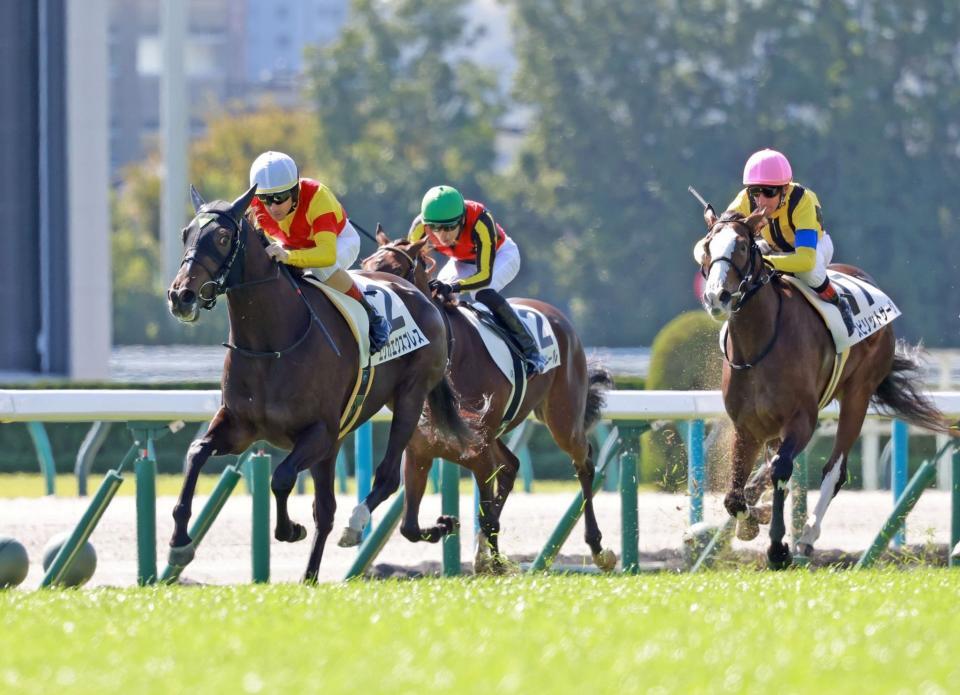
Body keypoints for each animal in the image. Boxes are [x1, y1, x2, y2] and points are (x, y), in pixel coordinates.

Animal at [171, 185, 478, 580]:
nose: (181, 295)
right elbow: (196, 453)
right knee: (328, 509)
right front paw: (179, 542)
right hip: (340, 438)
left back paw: (360, 523)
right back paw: (313, 574)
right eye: (185, 234)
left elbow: (281, 477)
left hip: (409, 398)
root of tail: (423, 296)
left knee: (386, 477)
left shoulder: (319, 431)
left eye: (223, 237)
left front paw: (289, 529)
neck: (270, 344)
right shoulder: (240, 428)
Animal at [360, 231, 616, 572]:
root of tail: (557, 317)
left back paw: (598, 546)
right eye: (365, 263)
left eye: (393, 269)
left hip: (563, 420)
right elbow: (409, 527)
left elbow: (488, 514)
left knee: (584, 462)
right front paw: (450, 528)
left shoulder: (479, 454)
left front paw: (492, 561)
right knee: (512, 465)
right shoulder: (419, 453)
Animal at [692, 209, 948, 568]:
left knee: (834, 468)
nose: (717, 296)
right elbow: (734, 496)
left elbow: (782, 469)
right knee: (771, 467)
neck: (759, 343)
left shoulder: (801, 419)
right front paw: (750, 521)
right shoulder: (747, 427)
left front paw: (778, 549)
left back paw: (808, 535)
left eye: (742, 246)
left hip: (858, 394)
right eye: (706, 246)